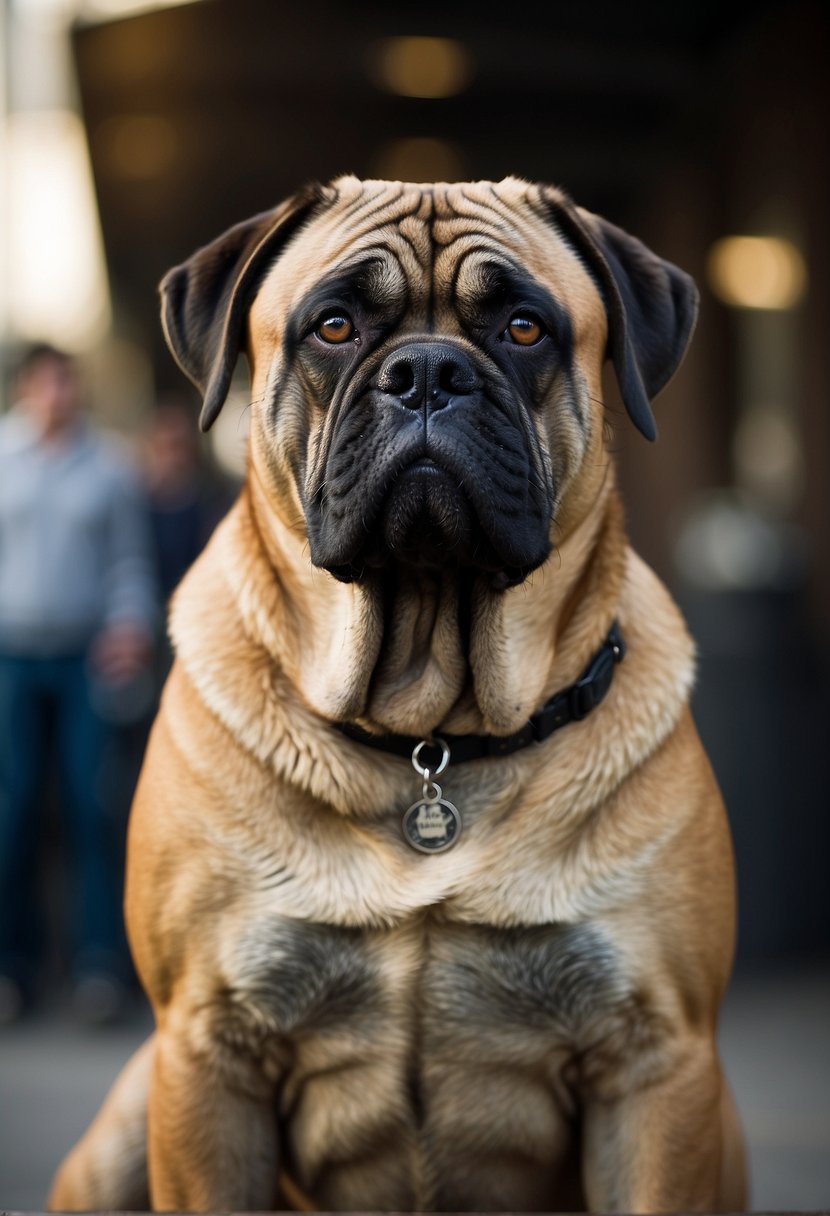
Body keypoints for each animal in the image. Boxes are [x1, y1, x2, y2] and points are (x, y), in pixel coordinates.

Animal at [48, 176, 748, 1211]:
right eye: (334, 327)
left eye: (525, 329)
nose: (426, 371)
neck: (435, 735)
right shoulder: (209, 1051)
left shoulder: (656, 1059)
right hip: (127, 1126)